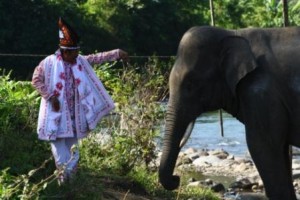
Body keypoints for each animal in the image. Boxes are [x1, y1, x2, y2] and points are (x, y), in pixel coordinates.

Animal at [158, 25, 300, 200]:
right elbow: (280, 147)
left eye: (191, 84)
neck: (233, 33)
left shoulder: (260, 94)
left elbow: (262, 145)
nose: (176, 178)